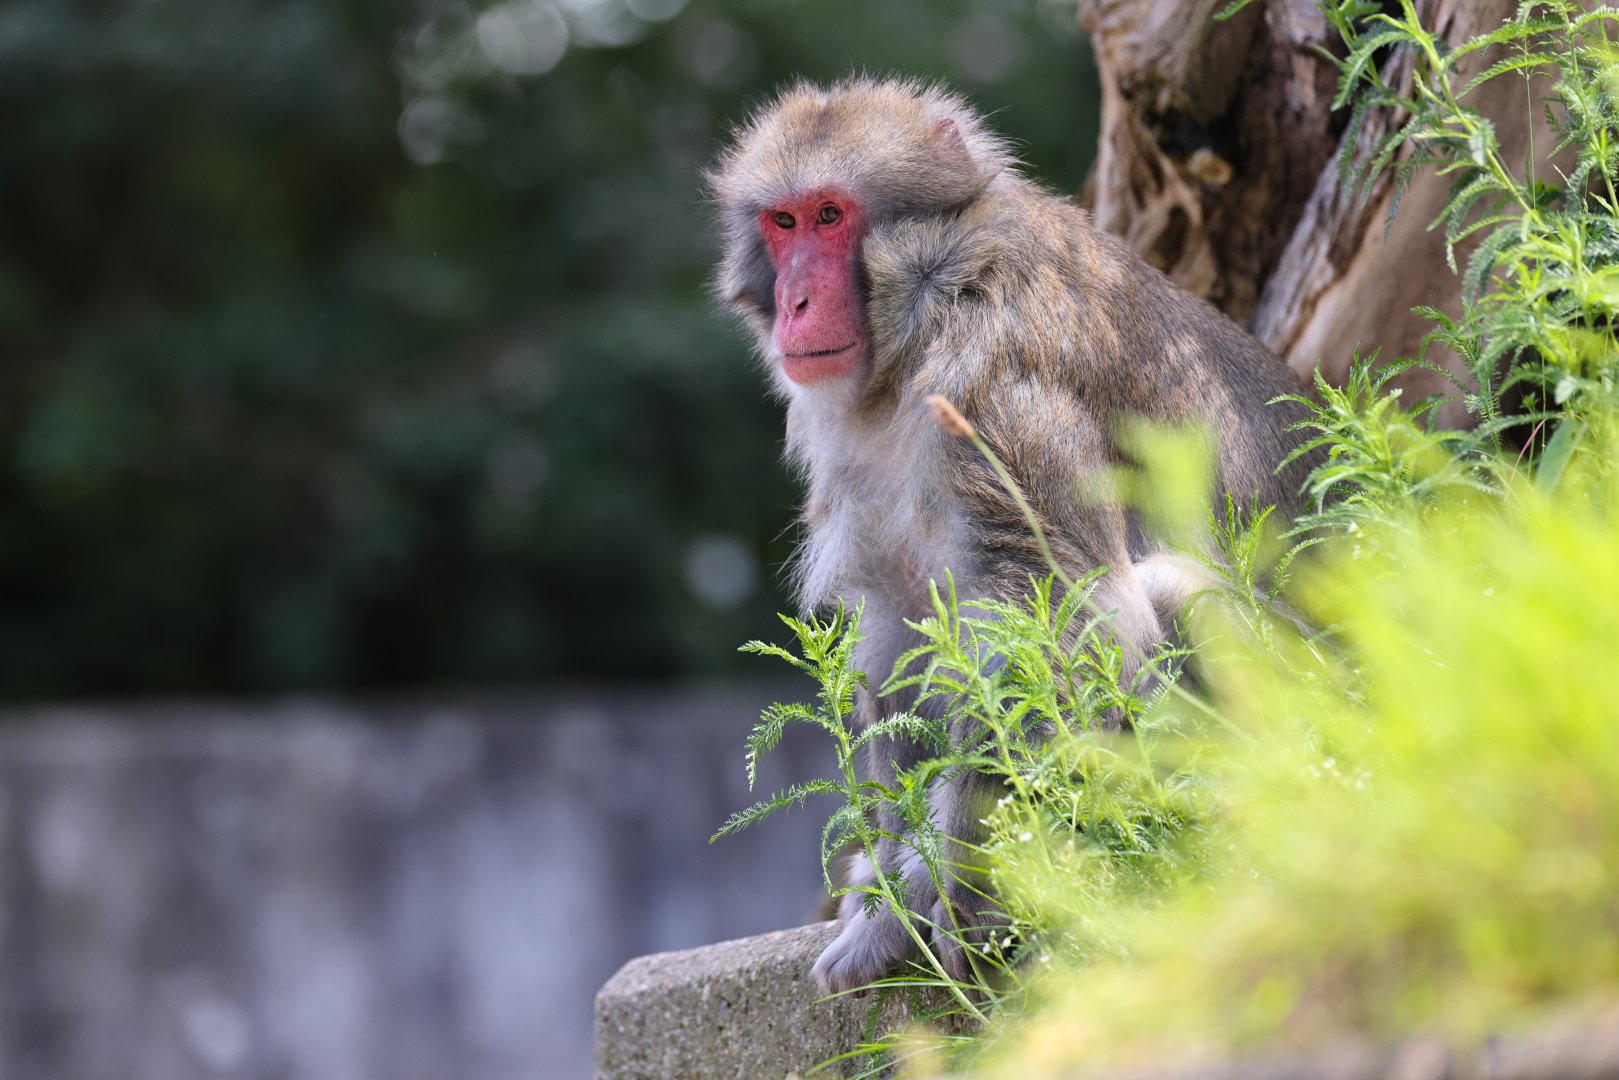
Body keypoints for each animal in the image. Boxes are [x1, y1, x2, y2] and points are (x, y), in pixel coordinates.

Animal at [707, 78, 1320, 994]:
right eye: (782, 223)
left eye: (830, 215)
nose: (795, 304)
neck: (927, 296)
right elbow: (901, 625)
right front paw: (890, 886)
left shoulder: (997, 385)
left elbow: (1054, 613)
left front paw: (959, 892)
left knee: (1165, 590)